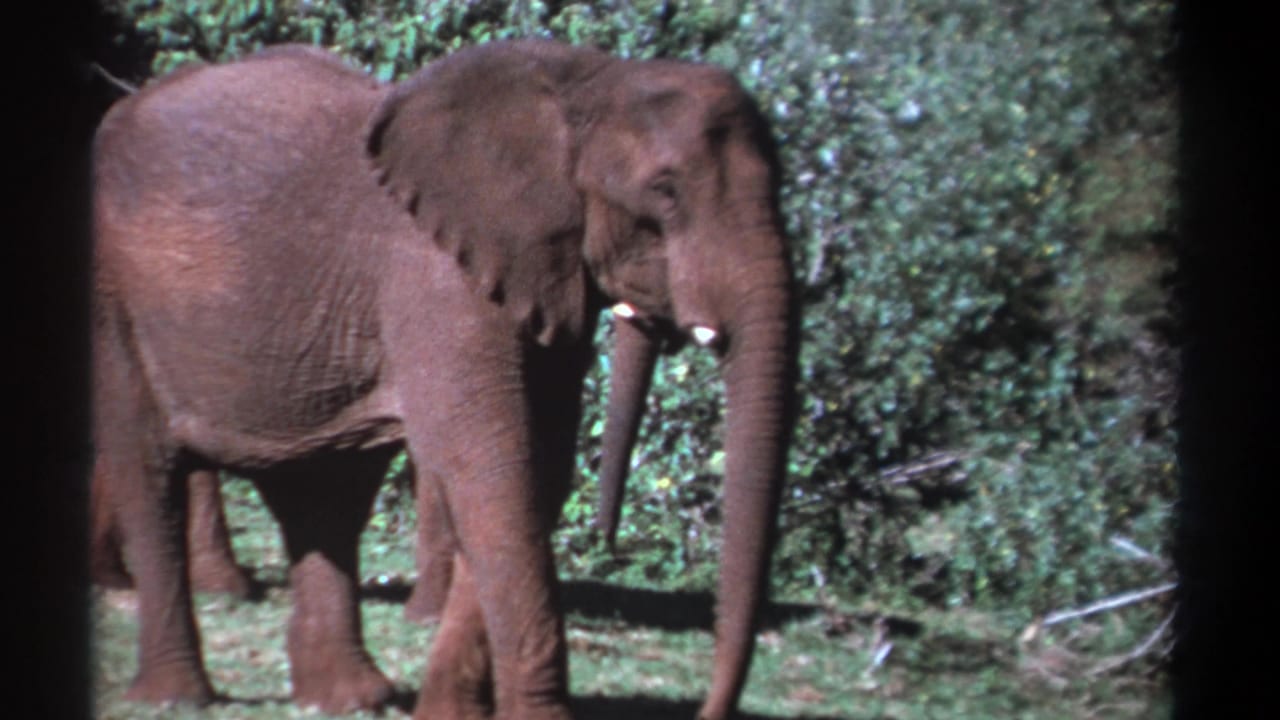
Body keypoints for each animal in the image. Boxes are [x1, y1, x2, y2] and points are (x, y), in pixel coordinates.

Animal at [91, 39, 795, 720]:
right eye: (666, 192)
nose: (710, 708)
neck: (586, 86)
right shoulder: (437, 278)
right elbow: (491, 467)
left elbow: (534, 473)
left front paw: (445, 712)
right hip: (116, 299)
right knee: (150, 471)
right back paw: (177, 696)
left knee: (323, 495)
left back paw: (349, 700)